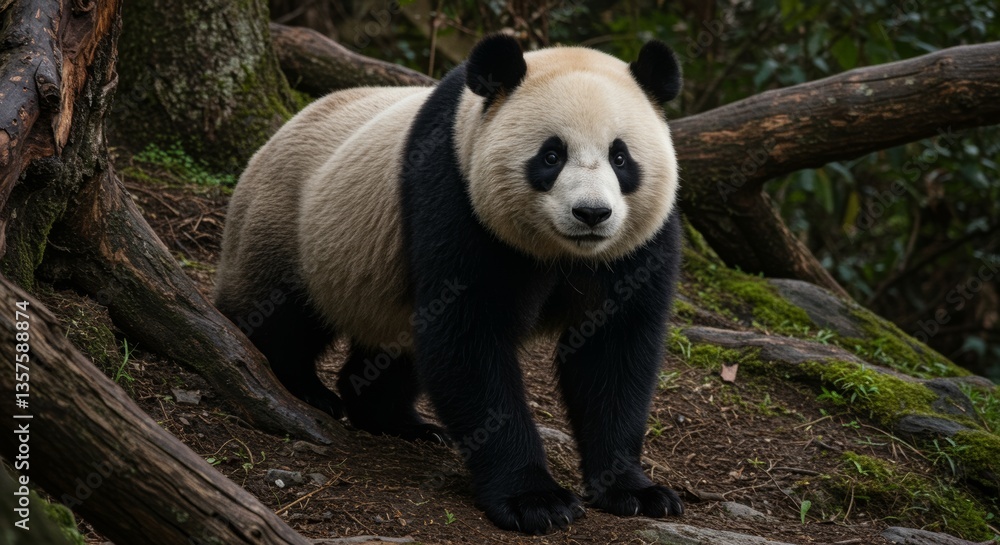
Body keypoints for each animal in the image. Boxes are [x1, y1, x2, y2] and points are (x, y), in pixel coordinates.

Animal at [214, 34, 683, 534]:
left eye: (621, 157)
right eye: (551, 156)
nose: (591, 214)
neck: (564, 253)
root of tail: (280, 130)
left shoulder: (634, 249)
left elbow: (614, 351)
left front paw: (635, 491)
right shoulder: (455, 196)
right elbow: (468, 339)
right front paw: (534, 499)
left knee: (395, 348)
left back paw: (401, 422)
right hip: (292, 224)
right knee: (280, 316)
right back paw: (304, 388)